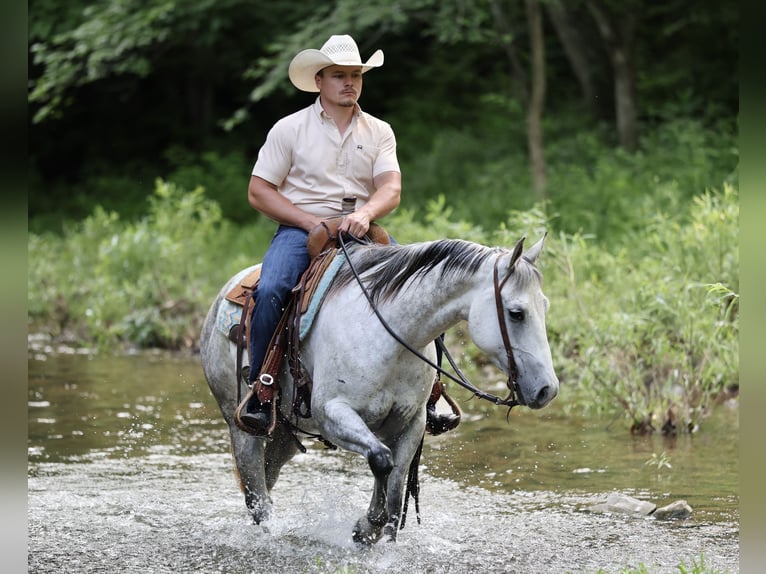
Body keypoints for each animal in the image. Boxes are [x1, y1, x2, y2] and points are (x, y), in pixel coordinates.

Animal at [199, 235, 559, 545]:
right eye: (516, 313)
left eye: (545, 306)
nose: (548, 390)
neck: (391, 332)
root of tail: (221, 297)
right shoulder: (333, 413)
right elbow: (381, 460)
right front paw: (366, 527)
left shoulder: (411, 422)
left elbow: (397, 486)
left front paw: (379, 536)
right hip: (242, 428)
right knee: (256, 495)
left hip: (285, 434)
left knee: (267, 479)